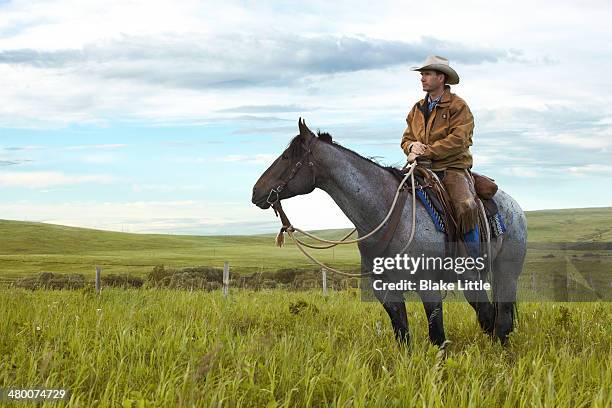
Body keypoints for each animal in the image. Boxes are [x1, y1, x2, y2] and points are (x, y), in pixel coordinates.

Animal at [251, 118, 528, 348]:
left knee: (499, 319)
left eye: (287, 156)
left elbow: (437, 337)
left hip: (505, 272)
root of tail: (514, 205)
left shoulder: (428, 287)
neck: (387, 212)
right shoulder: (386, 290)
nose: (255, 192)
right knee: (488, 315)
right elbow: (402, 334)